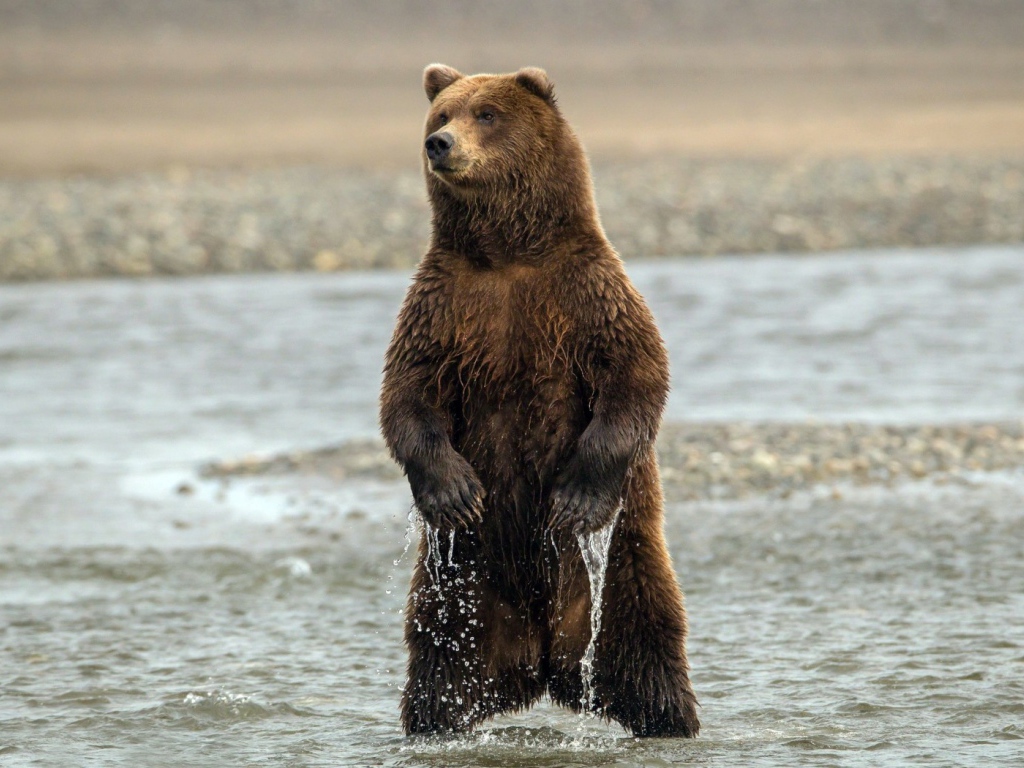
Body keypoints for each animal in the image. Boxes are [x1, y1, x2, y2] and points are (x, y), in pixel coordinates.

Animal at [379, 63, 699, 738]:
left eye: (487, 114)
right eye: (441, 113)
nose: (439, 144)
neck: (507, 254)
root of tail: (543, 661)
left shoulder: (587, 295)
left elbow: (636, 377)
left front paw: (576, 499)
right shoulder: (443, 307)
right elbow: (408, 396)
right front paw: (454, 492)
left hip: (624, 564)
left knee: (647, 647)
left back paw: (671, 720)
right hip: (460, 585)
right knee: (438, 662)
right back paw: (434, 724)